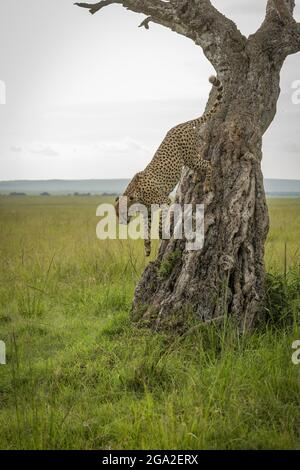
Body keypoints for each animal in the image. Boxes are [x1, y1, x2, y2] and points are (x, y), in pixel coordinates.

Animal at [115, 75, 223, 255]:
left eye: (123, 212)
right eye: (117, 213)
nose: (121, 222)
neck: (135, 193)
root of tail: (181, 124)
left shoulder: (164, 200)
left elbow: (161, 219)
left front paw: (161, 233)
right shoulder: (147, 210)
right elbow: (146, 226)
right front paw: (147, 246)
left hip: (191, 156)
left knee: (208, 164)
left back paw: (208, 184)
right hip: (189, 159)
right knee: (201, 164)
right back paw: (198, 177)